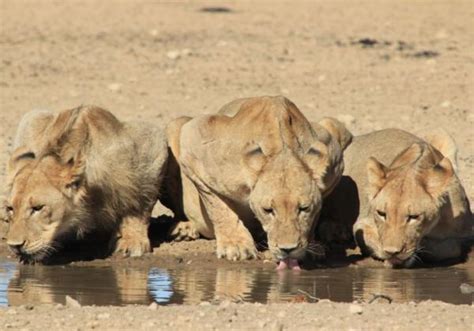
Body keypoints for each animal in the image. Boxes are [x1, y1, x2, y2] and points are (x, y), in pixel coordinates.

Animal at [1, 107, 168, 264]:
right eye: (10, 208)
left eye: (38, 208)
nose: (14, 246)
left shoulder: (153, 145)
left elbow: (139, 205)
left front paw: (132, 242)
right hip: (31, 118)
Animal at [163, 96, 352, 268]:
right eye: (268, 210)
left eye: (304, 208)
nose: (288, 249)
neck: (282, 149)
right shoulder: (193, 144)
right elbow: (218, 207)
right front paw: (237, 247)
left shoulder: (335, 161)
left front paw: (313, 246)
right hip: (174, 127)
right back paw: (184, 228)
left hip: (334, 126)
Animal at [320, 128, 472, 268]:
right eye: (382, 214)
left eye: (413, 217)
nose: (392, 252)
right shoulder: (362, 224)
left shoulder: (465, 233)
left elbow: (448, 247)